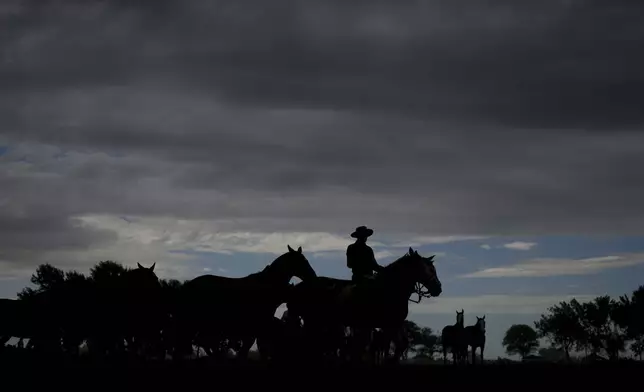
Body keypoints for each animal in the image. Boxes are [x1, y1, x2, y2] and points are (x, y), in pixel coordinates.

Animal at [171, 245, 316, 362]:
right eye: (303, 261)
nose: (313, 275)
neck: (265, 286)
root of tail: (188, 285)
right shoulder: (256, 326)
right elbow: (247, 348)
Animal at [290, 248, 440, 364]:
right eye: (430, 269)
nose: (438, 288)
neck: (388, 288)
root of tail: (298, 287)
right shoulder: (388, 325)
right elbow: (387, 347)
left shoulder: (395, 323)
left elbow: (400, 345)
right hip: (312, 320)